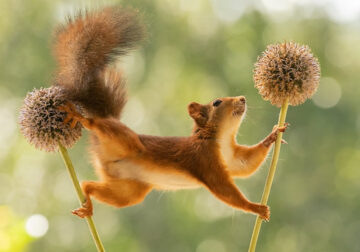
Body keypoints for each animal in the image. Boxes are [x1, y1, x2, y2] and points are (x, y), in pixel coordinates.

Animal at [55, 6, 286, 221]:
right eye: (217, 102)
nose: (242, 99)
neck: (222, 139)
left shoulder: (232, 159)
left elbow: (246, 164)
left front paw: (274, 134)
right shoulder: (204, 160)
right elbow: (224, 190)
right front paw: (255, 208)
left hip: (128, 190)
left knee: (90, 185)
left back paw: (87, 201)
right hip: (126, 142)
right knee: (96, 125)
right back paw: (80, 117)